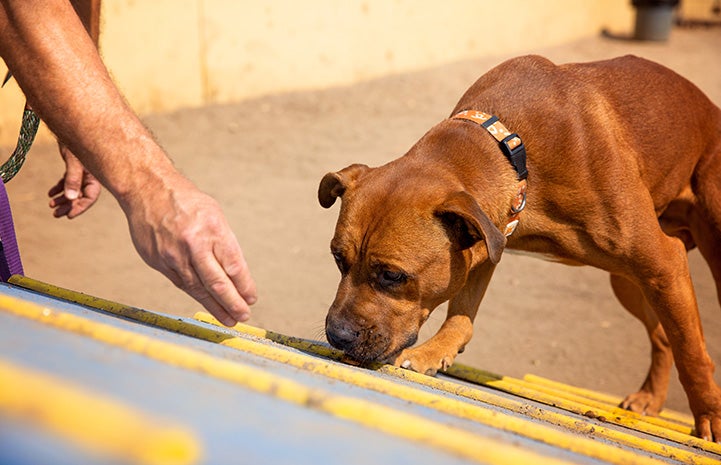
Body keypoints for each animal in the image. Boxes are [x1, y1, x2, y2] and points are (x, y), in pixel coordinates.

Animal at [318, 54, 720, 438]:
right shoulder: (486, 239)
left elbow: (692, 353)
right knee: (662, 337)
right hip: (627, 281)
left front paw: (710, 420)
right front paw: (437, 351)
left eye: (392, 275)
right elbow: (462, 313)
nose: (337, 335)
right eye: (337, 258)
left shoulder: (664, 262)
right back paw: (650, 397)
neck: (511, 146)